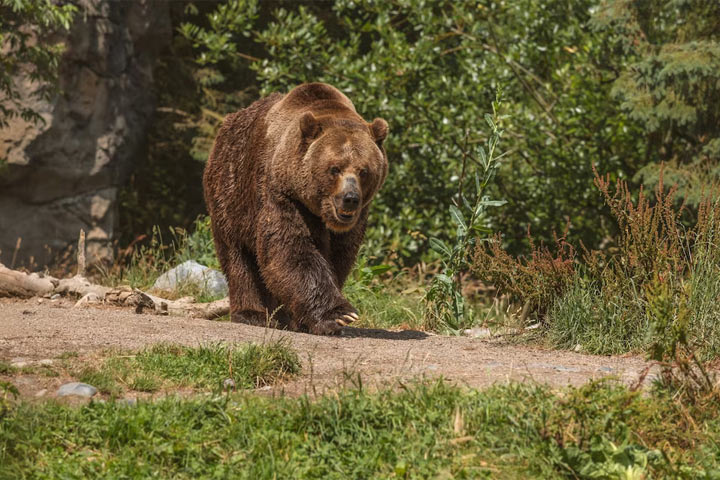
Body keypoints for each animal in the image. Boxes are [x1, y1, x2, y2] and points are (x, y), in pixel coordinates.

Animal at [202, 82, 388, 336]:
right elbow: (291, 249)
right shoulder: (283, 194)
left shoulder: (353, 222)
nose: (350, 199)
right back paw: (252, 313)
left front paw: (308, 320)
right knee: (238, 257)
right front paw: (338, 315)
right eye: (334, 168)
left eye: (364, 170)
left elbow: (339, 257)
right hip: (230, 192)